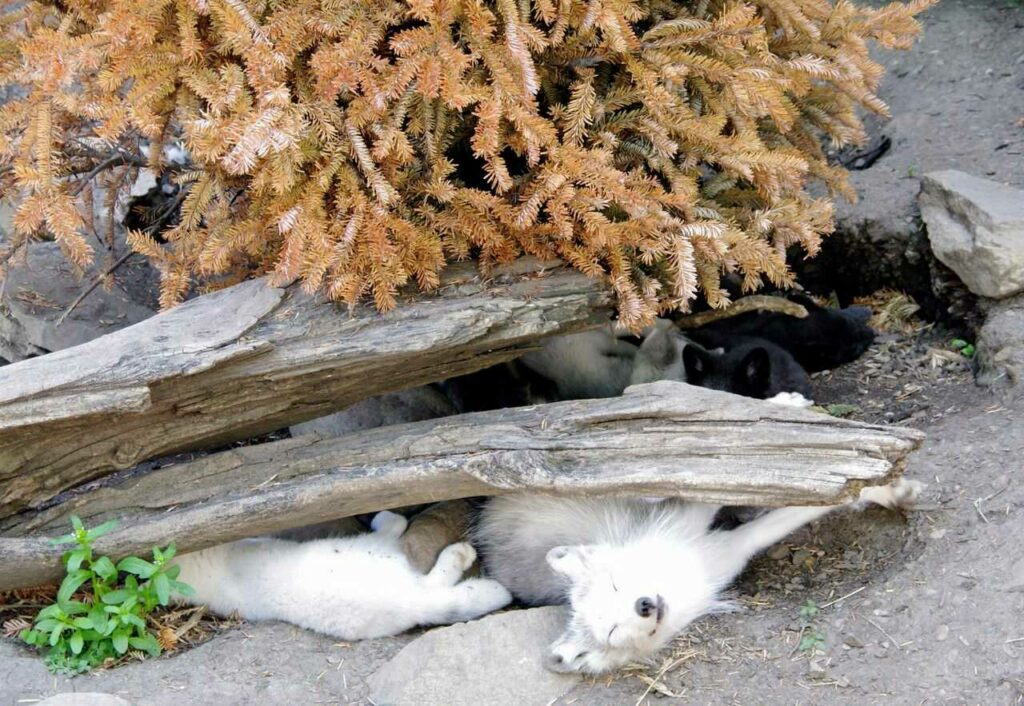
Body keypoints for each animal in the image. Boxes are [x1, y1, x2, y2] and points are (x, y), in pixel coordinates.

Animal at [477, 481, 921, 676]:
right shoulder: (730, 550)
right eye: (612, 632)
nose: (645, 606)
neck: (678, 585)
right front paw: (884, 492)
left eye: (618, 585)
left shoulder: (694, 526)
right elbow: (783, 516)